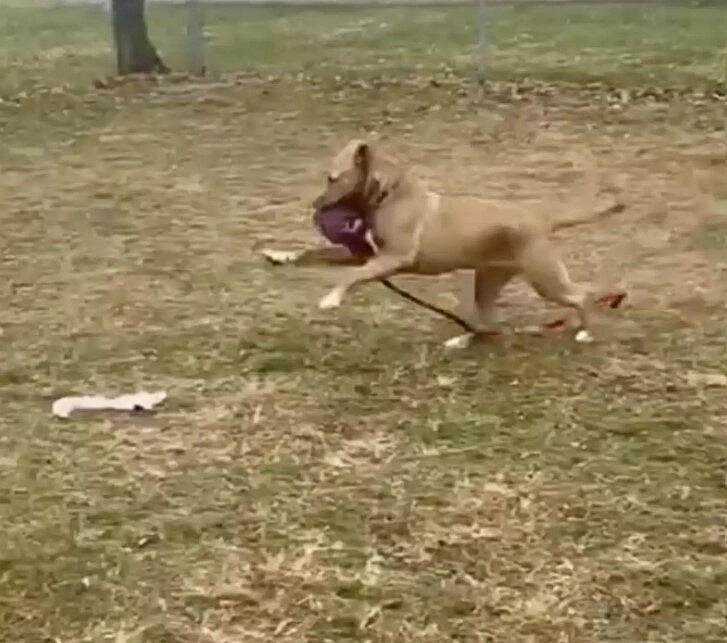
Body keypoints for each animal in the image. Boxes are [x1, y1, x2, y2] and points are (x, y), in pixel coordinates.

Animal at [264, 139, 624, 350]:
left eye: (332, 178)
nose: (313, 206)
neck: (388, 195)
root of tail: (538, 217)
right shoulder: (365, 257)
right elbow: (314, 253)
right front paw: (281, 255)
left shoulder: (392, 259)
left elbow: (349, 277)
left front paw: (331, 299)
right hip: (488, 282)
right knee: (489, 323)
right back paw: (463, 339)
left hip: (545, 280)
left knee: (582, 295)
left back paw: (586, 331)